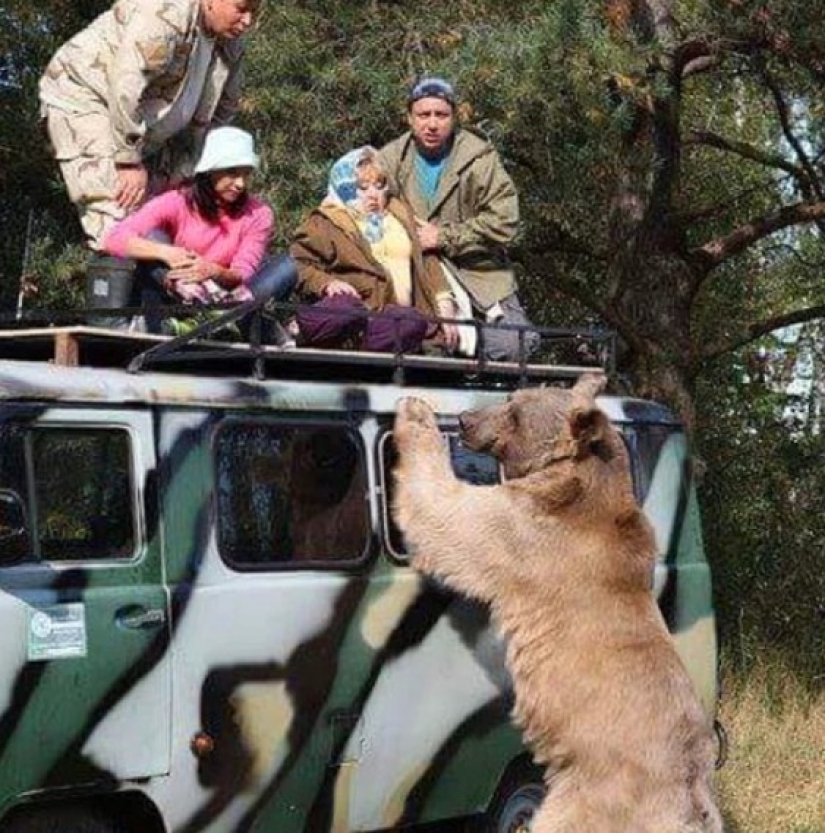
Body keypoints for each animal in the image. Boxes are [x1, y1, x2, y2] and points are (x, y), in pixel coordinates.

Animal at [391, 373, 722, 833]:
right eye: (510, 398)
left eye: (513, 411)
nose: (465, 419)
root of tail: (690, 801)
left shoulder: (533, 528)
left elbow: (451, 517)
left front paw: (415, 409)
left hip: (591, 802)